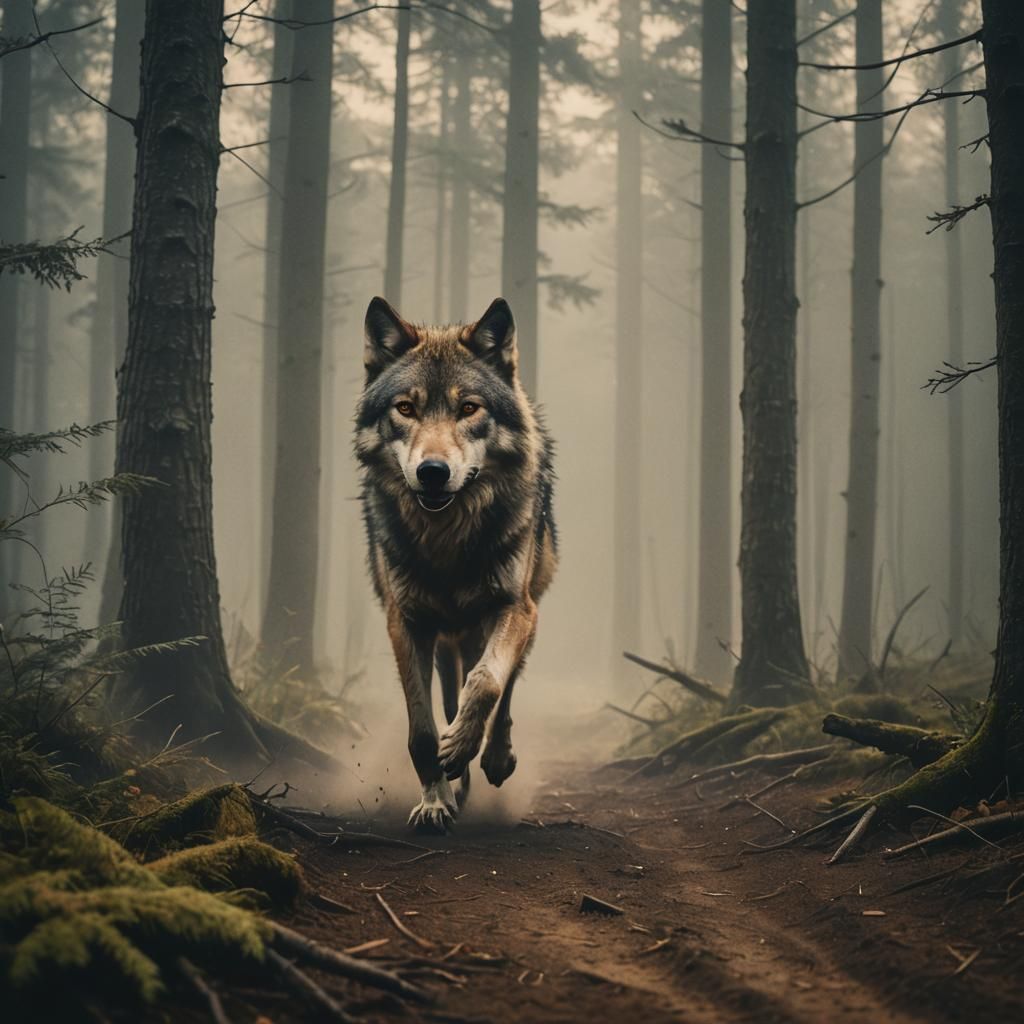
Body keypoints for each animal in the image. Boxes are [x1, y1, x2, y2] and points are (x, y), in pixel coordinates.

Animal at [355, 296, 557, 832]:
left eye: (469, 408)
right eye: (406, 408)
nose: (432, 472)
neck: (446, 541)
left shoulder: (513, 607)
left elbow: (487, 684)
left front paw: (469, 749)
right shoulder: (406, 622)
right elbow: (424, 730)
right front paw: (435, 800)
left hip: (521, 618)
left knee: (501, 689)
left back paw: (494, 757)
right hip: (449, 641)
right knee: (450, 696)